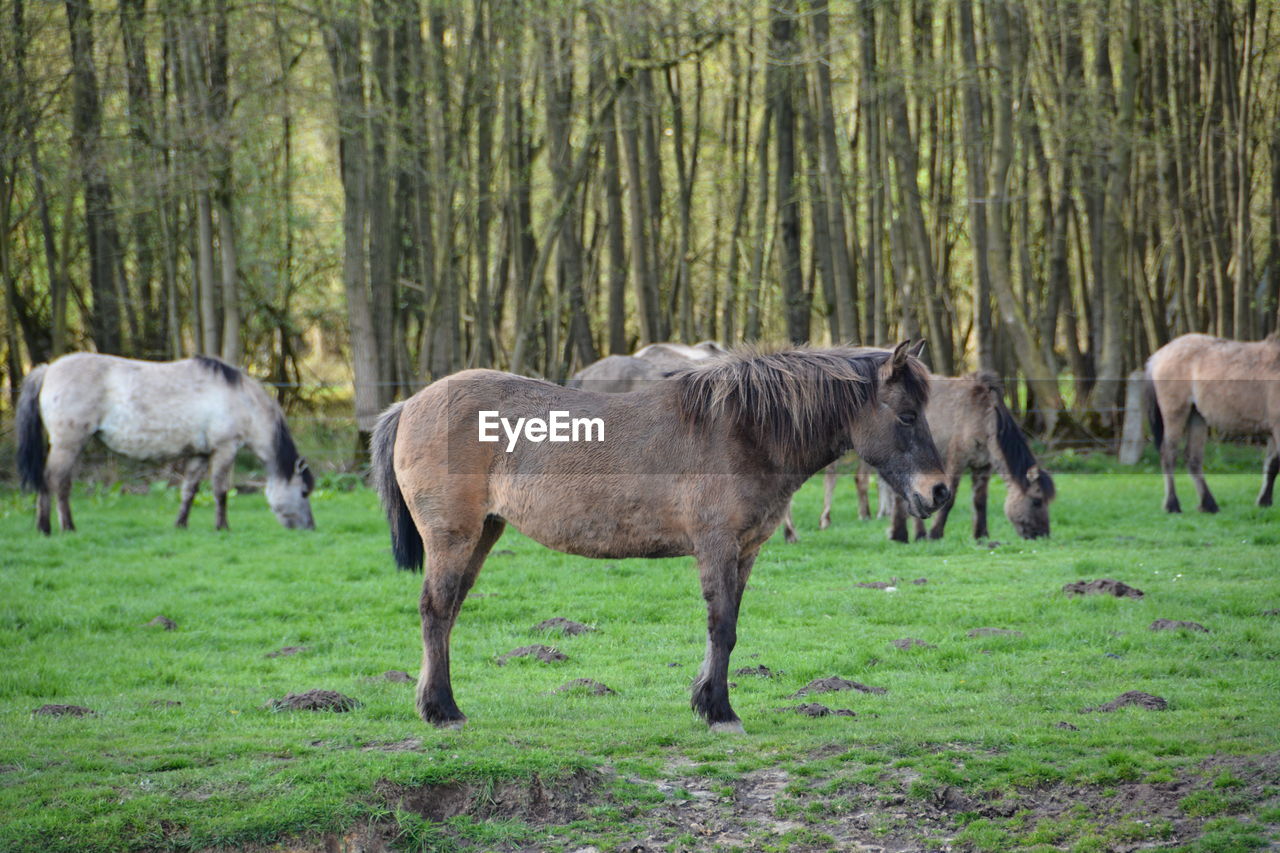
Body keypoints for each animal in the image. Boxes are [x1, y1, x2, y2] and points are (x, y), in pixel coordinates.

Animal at [16, 350, 314, 532]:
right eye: (303, 492)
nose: (310, 527)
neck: (240, 399)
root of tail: (48, 369)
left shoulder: (199, 454)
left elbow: (189, 490)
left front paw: (180, 524)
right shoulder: (225, 449)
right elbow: (220, 490)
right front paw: (223, 527)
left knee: (52, 481)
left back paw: (48, 527)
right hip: (68, 444)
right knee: (55, 481)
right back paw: (60, 527)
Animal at [371, 343, 952, 727]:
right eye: (906, 415)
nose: (940, 491)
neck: (743, 430)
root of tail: (410, 404)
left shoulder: (745, 552)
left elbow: (728, 627)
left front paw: (705, 701)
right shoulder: (716, 547)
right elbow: (722, 627)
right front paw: (720, 712)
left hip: (483, 534)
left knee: (448, 612)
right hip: (453, 537)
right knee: (436, 610)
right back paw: (442, 710)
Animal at [783, 371, 1054, 537]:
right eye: (1036, 501)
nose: (1041, 535)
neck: (983, 416)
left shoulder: (982, 467)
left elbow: (980, 501)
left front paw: (981, 535)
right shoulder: (955, 460)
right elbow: (950, 499)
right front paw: (935, 533)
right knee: (831, 480)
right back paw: (822, 521)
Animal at [1146, 327, 1280, 507]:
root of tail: (1158, 356)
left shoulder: (1273, 431)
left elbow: (1272, 465)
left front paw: (1264, 502)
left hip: (1196, 417)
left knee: (1193, 458)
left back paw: (1208, 505)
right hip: (1175, 414)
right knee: (1169, 454)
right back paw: (1172, 505)